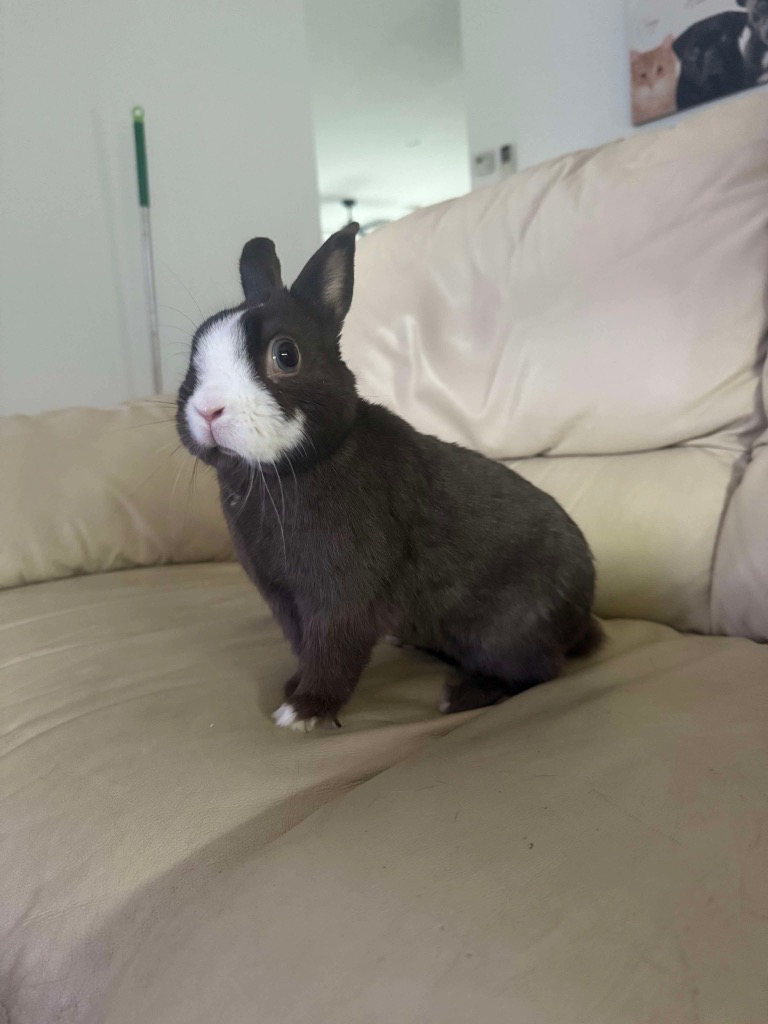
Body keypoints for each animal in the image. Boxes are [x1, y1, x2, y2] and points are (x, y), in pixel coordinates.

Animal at [176, 223, 602, 731]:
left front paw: (305, 711)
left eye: (285, 354)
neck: (288, 472)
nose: (208, 410)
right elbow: (303, 645)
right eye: (193, 351)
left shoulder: (343, 598)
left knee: (539, 670)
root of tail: (581, 614)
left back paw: (462, 696)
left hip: (505, 631)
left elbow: (333, 650)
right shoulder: (285, 598)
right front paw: (295, 689)